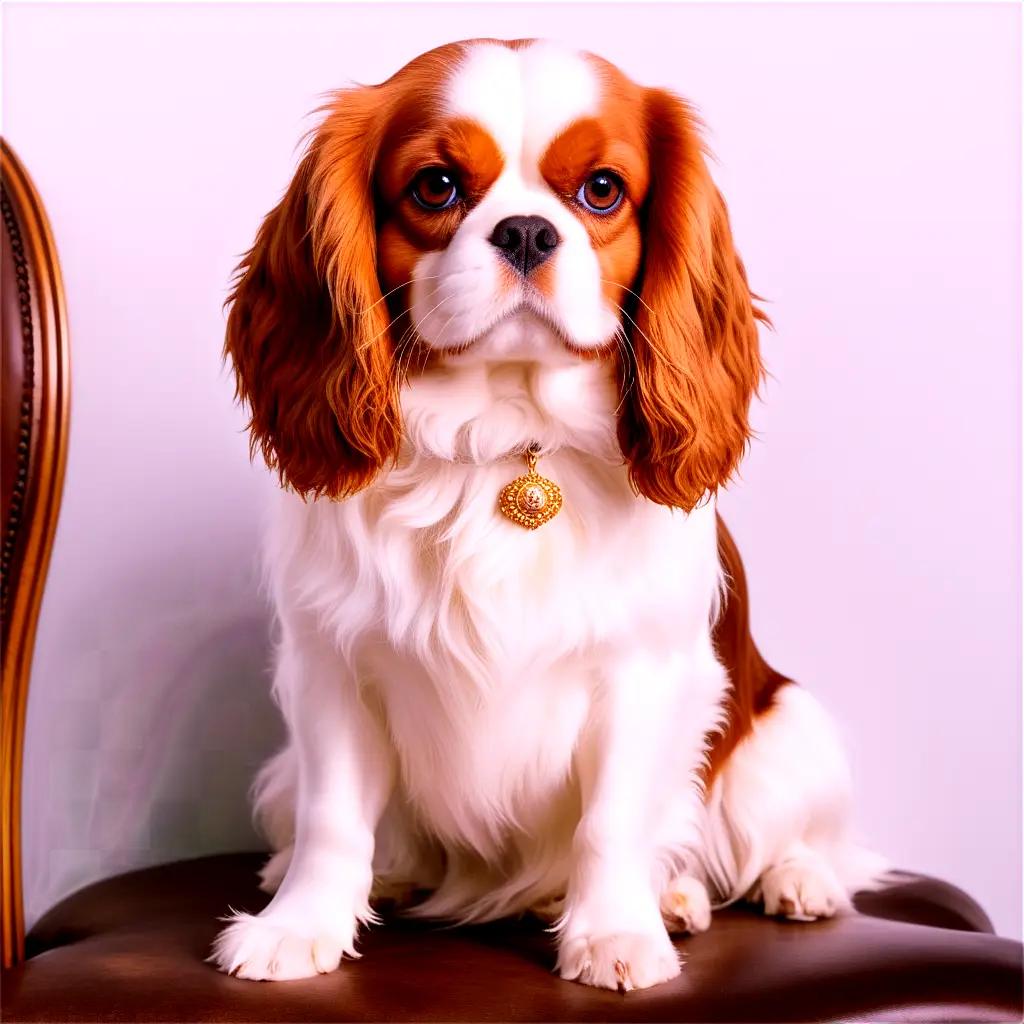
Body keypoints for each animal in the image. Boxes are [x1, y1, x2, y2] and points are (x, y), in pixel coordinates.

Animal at [207, 39, 880, 991]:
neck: (506, 439)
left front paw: (616, 934)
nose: (526, 230)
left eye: (601, 189)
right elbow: (333, 818)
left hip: (792, 735)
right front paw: (298, 925)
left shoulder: (643, 675)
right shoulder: (331, 668)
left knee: (785, 841)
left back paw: (768, 883)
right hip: (279, 773)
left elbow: (612, 822)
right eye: (437, 186)